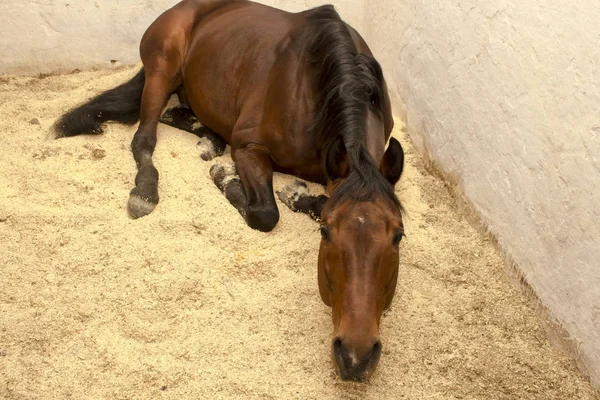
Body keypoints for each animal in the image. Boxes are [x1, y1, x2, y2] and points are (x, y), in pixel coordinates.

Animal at [54, 0, 406, 382]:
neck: (317, 93)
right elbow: (265, 213)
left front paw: (295, 193)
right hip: (162, 71)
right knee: (144, 138)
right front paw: (231, 179)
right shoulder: (249, 146)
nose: (356, 355)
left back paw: (209, 140)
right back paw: (145, 190)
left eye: (398, 236)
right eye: (326, 234)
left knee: (179, 115)